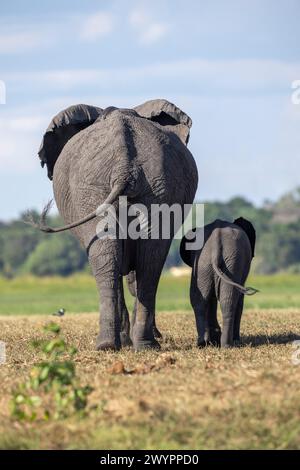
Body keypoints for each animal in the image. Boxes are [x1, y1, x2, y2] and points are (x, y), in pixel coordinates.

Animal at [29, 100, 198, 348]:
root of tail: (124, 167)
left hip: (93, 188)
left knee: (115, 259)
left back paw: (114, 344)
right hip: (159, 184)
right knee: (149, 258)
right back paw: (140, 345)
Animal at [180, 218, 258, 346]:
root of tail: (216, 245)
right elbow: (239, 300)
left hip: (204, 264)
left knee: (198, 299)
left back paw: (203, 343)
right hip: (233, 263)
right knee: (229, 300)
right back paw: (228, 344)